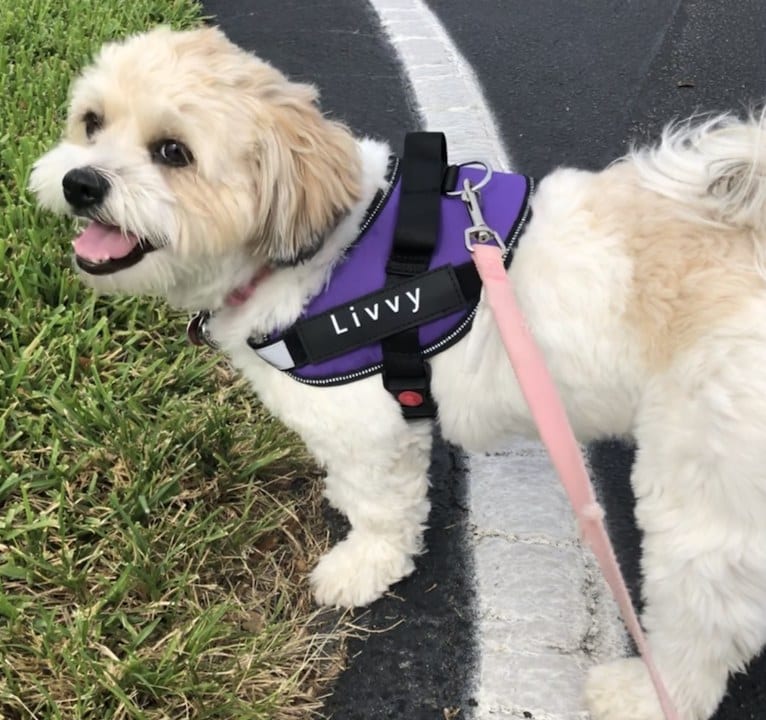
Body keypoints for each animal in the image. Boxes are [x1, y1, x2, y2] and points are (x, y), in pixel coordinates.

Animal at [30, 23, 766, 720]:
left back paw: (648, 693)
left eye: (173, 152)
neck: (321, 251)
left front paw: (362, 566)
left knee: (706, 615)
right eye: (91, 122)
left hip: (705, 486)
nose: (81, 182)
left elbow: (381, 507)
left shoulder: (368, 427)